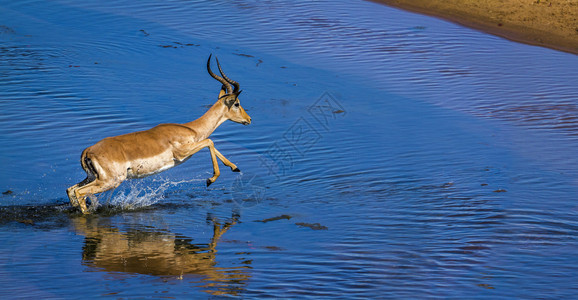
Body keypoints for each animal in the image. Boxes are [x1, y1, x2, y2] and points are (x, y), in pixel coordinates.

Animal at [67, 54, 250, 213]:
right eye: (237, 103)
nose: (248, 119)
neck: (191, 128)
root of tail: (88, 151)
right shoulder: (182, 153)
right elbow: (210, 141)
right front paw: (210, 180)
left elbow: (211, 144)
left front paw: (235, 167)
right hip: (110, 181)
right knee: (79, 192)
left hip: (93, 178)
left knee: (71, 190)